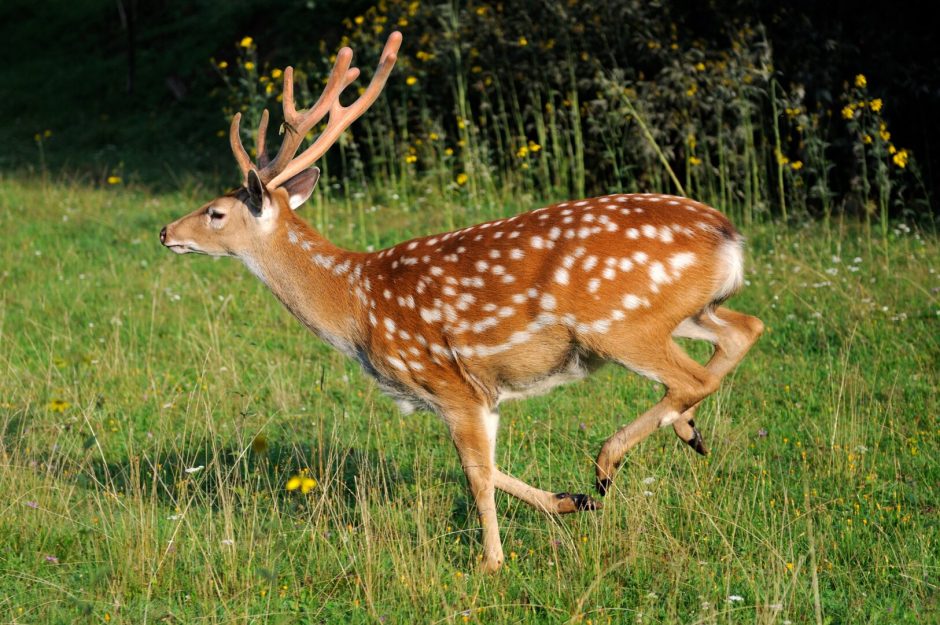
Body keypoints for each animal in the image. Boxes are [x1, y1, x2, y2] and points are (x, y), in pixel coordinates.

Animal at [162, 31, 764, 572]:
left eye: (216, 212)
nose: (167, 232)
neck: (357, 305)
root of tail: (728, 235)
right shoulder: (484, 394)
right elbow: (491, 467)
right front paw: (570, 502)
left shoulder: (452, 385)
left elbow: (475, 473)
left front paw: (491, 563)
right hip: (688, 309)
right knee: (745, 328)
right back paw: (684, 434)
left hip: (620, 324)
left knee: (692, 376)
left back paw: (608, 460)